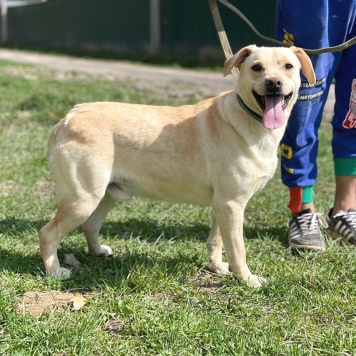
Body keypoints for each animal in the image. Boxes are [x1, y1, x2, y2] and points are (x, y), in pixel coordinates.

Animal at [41, 46, 314, 288]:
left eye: (288, 66)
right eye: (257, 67)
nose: (274, 83)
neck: (249, 120)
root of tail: (67, 119)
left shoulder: (224, 204)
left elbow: (217, 241)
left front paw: (217, 268)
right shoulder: (232, 203)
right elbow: (238, 249)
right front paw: (246, 279)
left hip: (105, 194)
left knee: (90, 225)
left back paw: (98, 251)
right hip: (82, 199)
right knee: (48, 233)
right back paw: (55, 272)